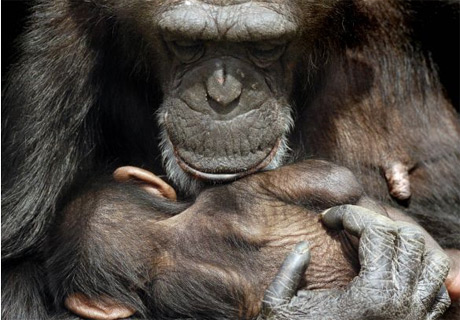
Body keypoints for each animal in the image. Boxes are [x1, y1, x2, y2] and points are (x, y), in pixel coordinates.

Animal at [0, 0, 460, 318]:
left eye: (264, 46)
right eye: (186, 44)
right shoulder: (60, 35)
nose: (222, 96)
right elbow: (16, 267)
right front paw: (368, 302)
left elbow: (331, 179)